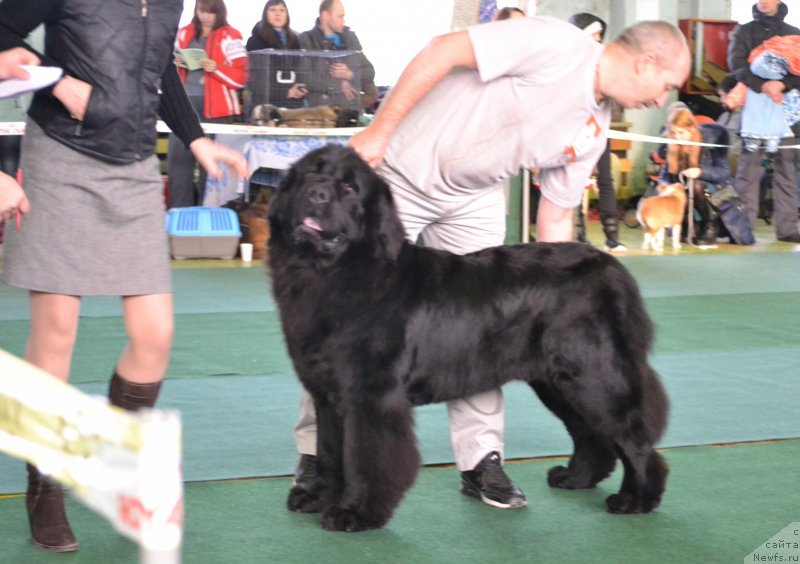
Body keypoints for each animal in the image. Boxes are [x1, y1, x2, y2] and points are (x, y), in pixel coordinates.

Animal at [268, 145, 668, 532]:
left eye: (349, 188)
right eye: (309, 174)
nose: (316, 193)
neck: (336, 272)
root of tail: (609, 267)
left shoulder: (371, 397)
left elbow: (365, 457)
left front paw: (356, 513)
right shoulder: (327, 393)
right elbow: (329, 451)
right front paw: (318, 497)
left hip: (592, 374)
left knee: (632, 437)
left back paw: (636, 499)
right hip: (557, 381)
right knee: (589, 433)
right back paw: (576, 478)